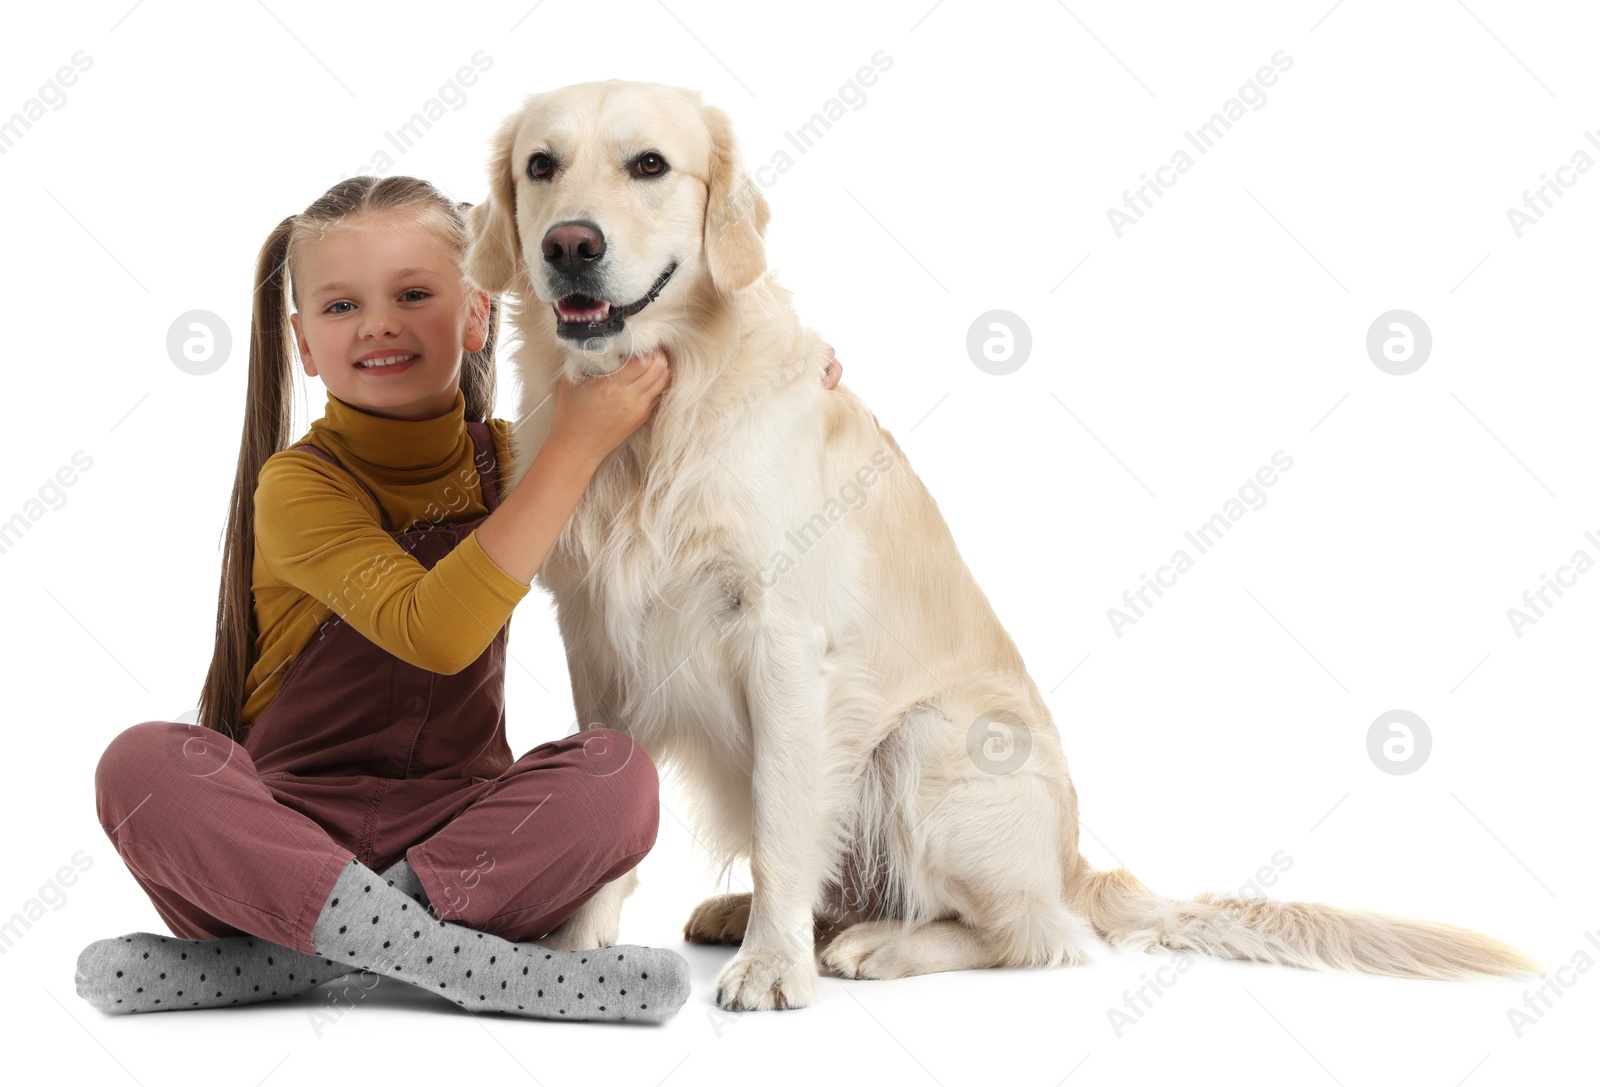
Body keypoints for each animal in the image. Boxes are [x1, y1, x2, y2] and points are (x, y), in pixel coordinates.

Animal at [464, 80, 1536, 1018]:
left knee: (1031, 933)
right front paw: (577, 944)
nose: (569, 245)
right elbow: (613, 809)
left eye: (650, 164)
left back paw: (871, 943)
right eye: (541, 165)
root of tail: (1073, 858)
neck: (657, 424)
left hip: (932, 741)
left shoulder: (785, 640)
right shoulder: (595, 637)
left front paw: (775, 967)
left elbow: (780, 823)